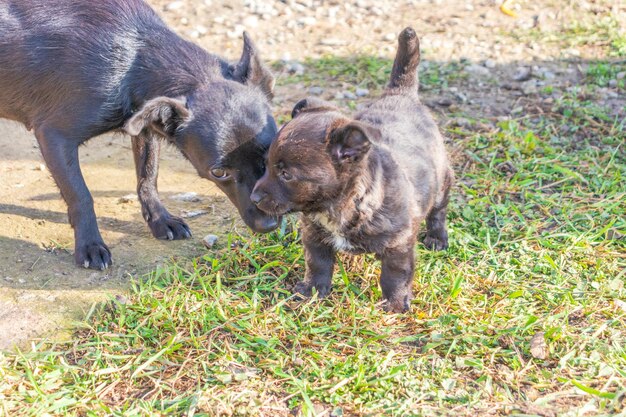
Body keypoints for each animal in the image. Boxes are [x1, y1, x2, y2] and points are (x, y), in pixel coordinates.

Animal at [0, 0, 278, 270]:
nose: (269, 225)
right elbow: (81, 194)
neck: (132, 59)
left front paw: (161, 220)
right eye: (218, 172)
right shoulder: (54, 136)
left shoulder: (144, 128)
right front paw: (90, 245)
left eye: (270, 156)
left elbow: (148, 177)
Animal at [251, 27, 450, 310]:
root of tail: (401, 94)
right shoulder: (314, 237)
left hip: (442, 181)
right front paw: (312, 291)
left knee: (438, 212)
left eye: (286, 175)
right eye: (265, 165)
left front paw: (395, 305)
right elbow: (318, 265)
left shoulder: (398, 245)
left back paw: (437, 238)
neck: (343, 204)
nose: (254, 197)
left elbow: (395, 276)